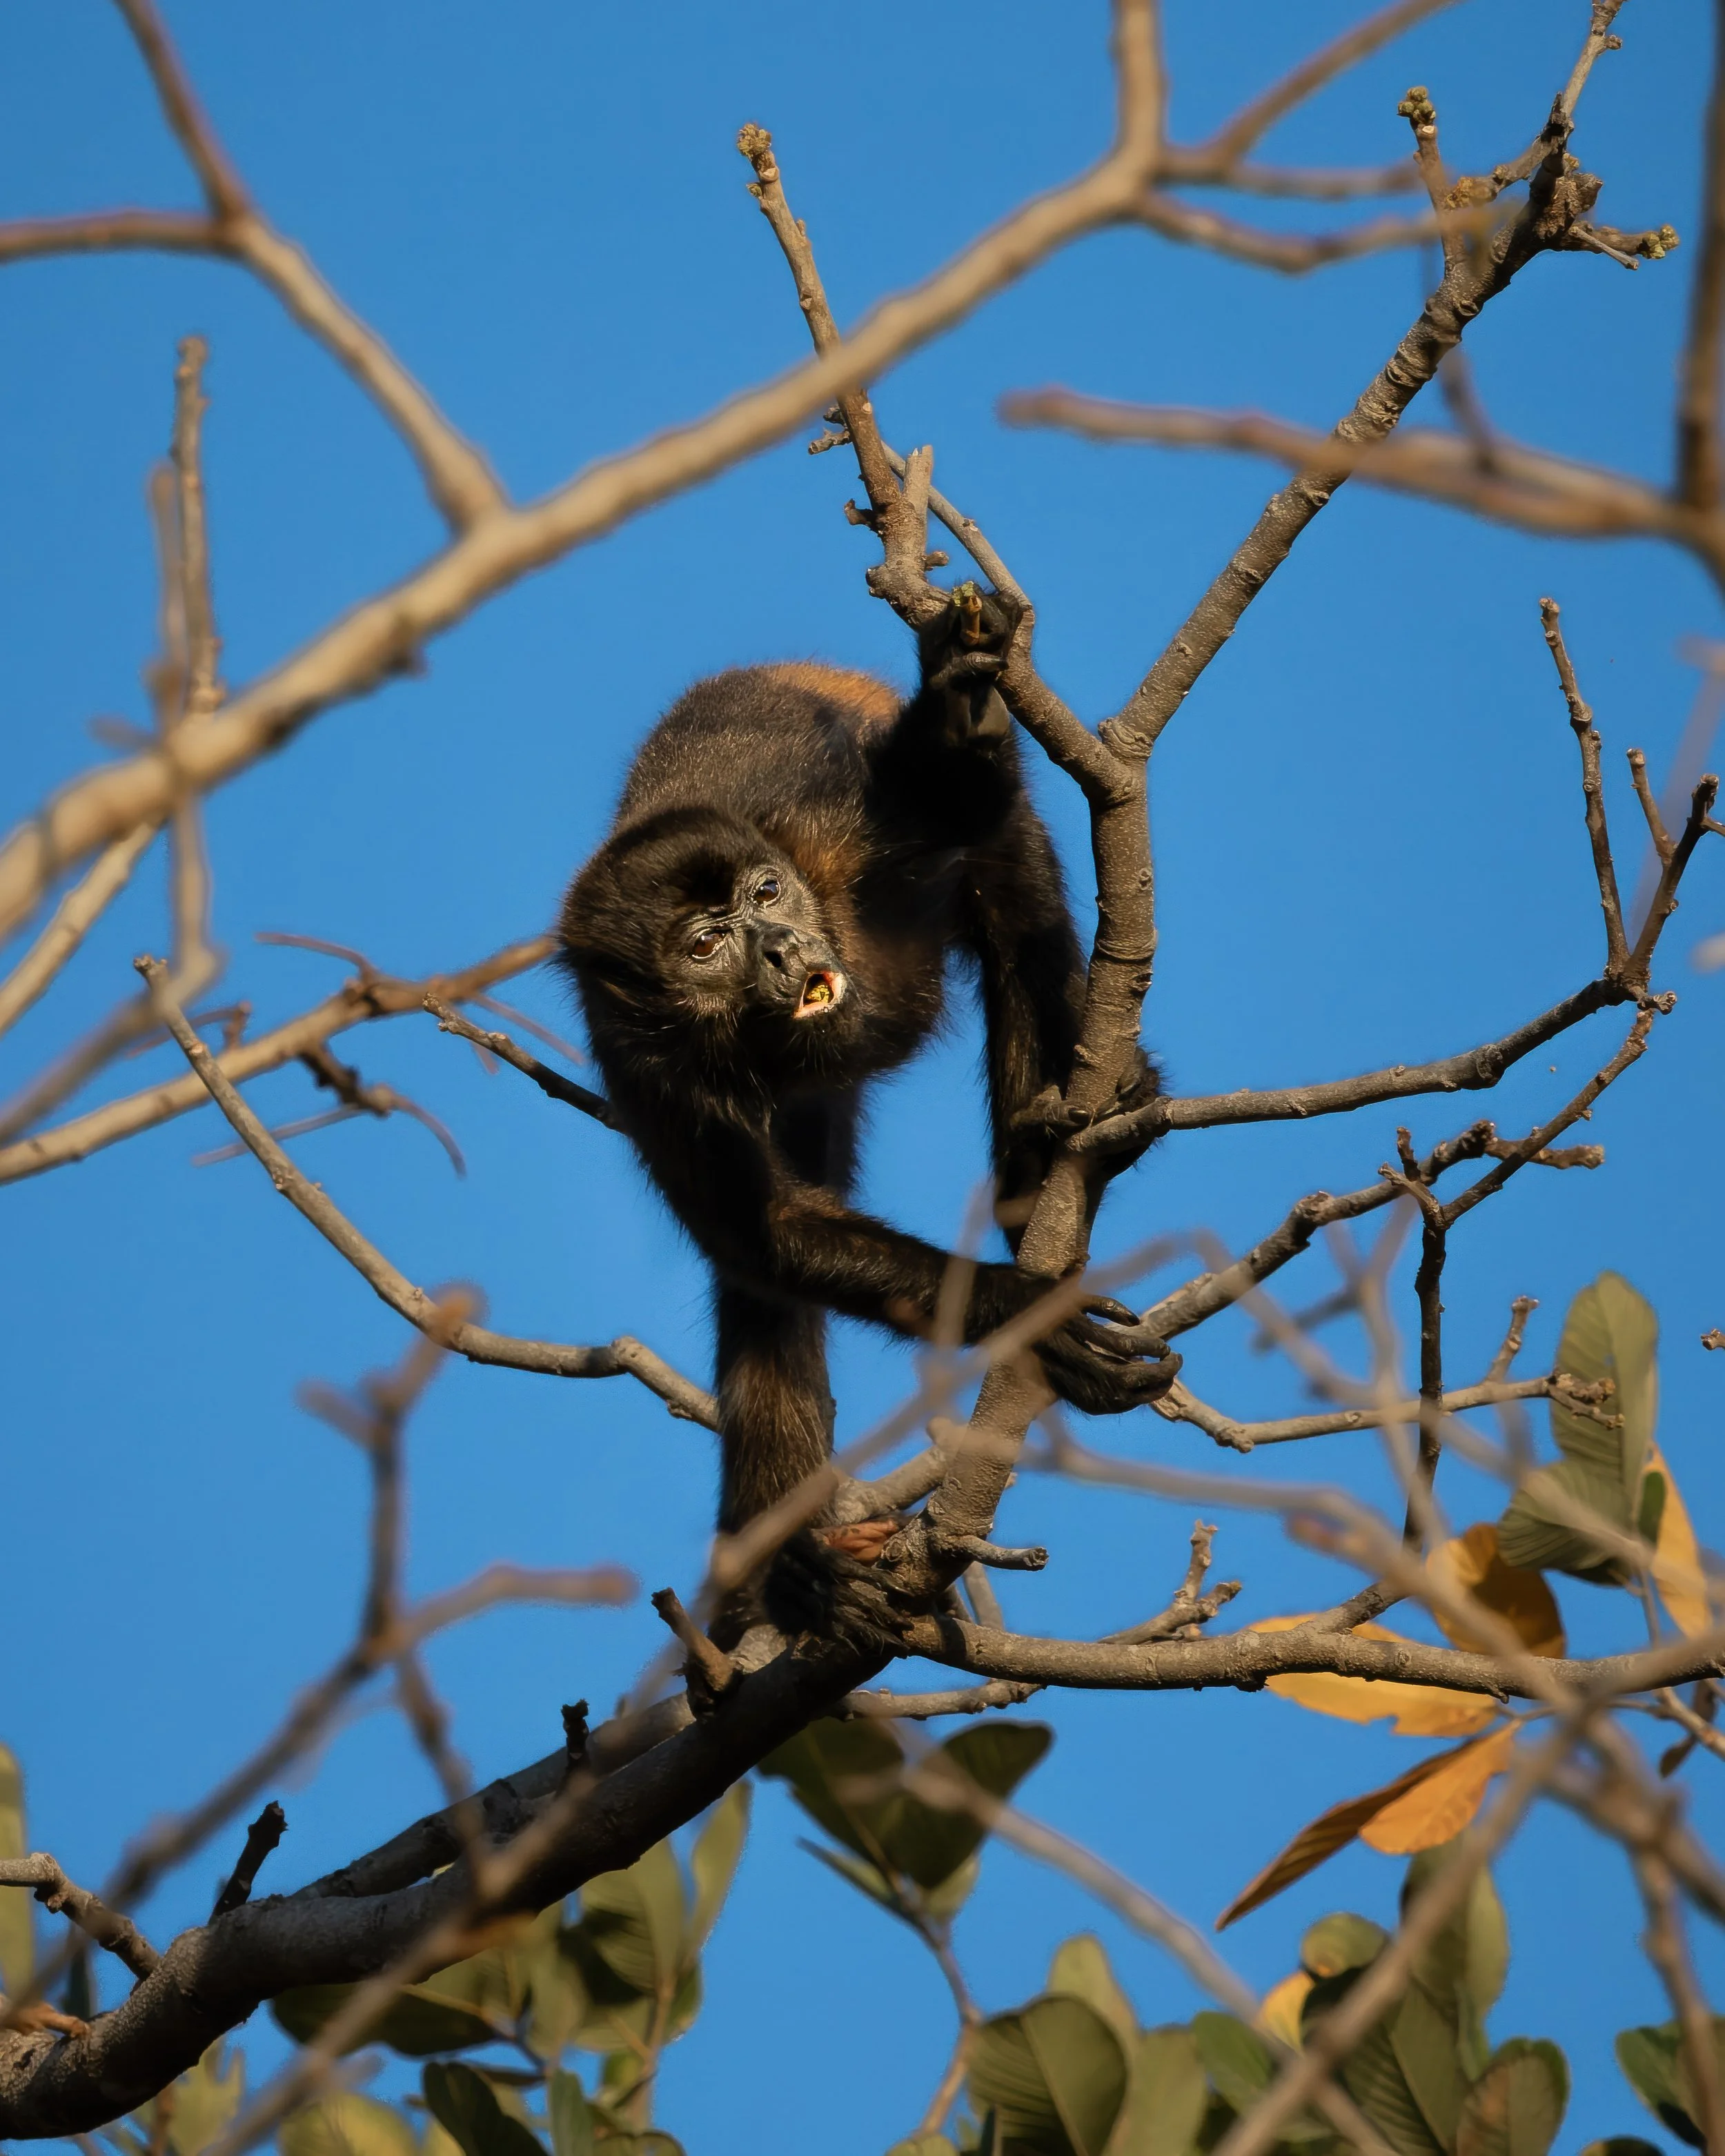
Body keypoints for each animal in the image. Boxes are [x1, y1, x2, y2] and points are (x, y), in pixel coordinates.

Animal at [557, 586, 1171, 1636]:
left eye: (766, 892)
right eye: (705, 943)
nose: (779, 944)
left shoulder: (834, 834)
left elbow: (955, 807)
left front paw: (962, 704)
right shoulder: (638, 1060)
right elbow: (767, 1235)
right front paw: (1019, 1310)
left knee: (1014, 906)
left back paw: (1044, 1161)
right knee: (764, 1284)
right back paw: (788, 1571)